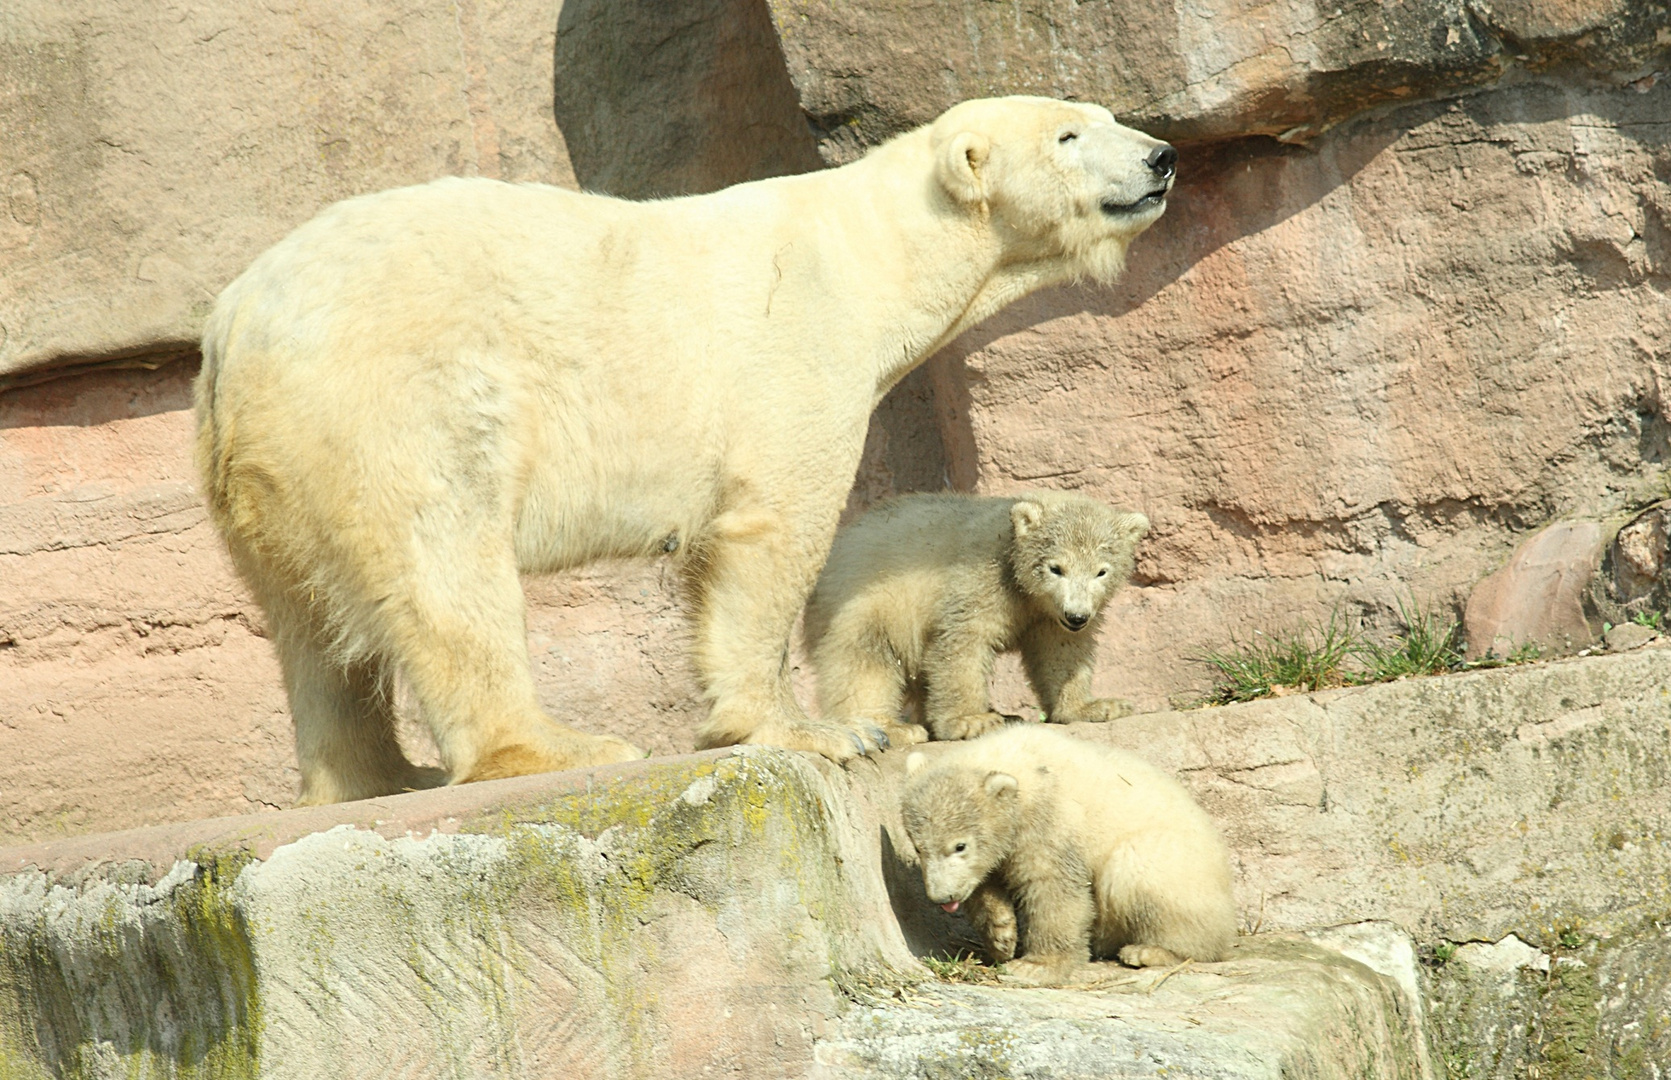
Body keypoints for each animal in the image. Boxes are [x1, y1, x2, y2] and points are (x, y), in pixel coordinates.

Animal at [195, 97, 1176, 802]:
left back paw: (376, 776)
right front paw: (820, 730)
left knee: (309, 620)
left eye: (1103, 113)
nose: (1162, 156)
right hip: (398, 403)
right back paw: (554, 746)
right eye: (1069, 133)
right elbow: (770, 532)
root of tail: (234, 324)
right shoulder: (795, 351)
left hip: (270, 469)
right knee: (444, 564)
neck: (871, 255)